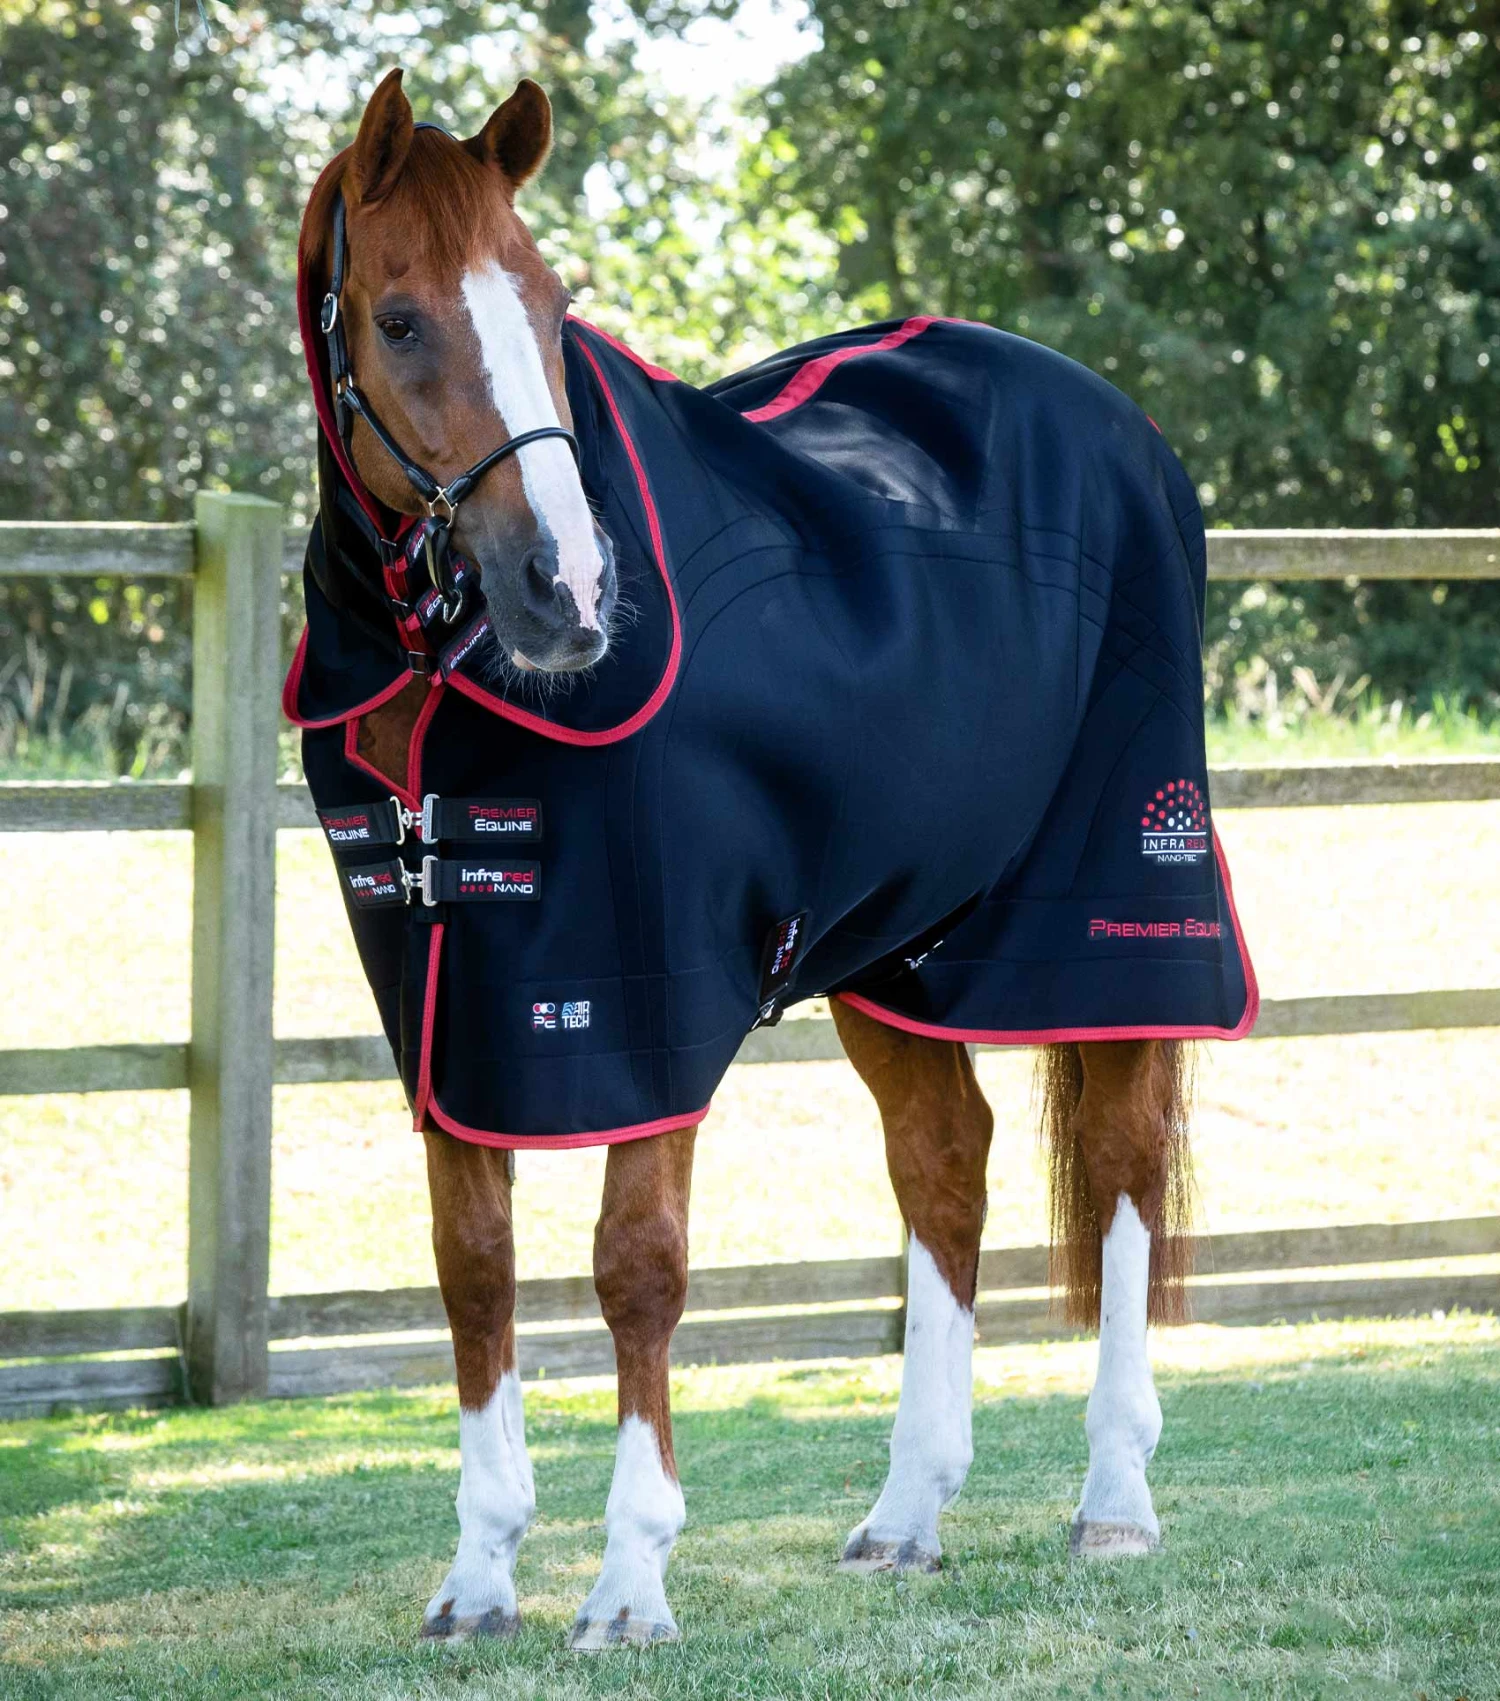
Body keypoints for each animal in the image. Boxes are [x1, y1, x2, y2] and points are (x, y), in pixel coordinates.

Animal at [287, 68, 1255, 1650]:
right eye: (403, 318)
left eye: (548, 304)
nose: (567, 591)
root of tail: (1120, 426)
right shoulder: (453, 1012)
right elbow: (473, 1270)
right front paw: (480, 1578)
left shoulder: (645, 997)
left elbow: (636, 1268)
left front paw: (628, 1581)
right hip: (897, 947)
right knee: (945, 1163)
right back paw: (908, 1514)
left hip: (1108, 905)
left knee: (1115, 1167)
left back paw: (1114, 1497)